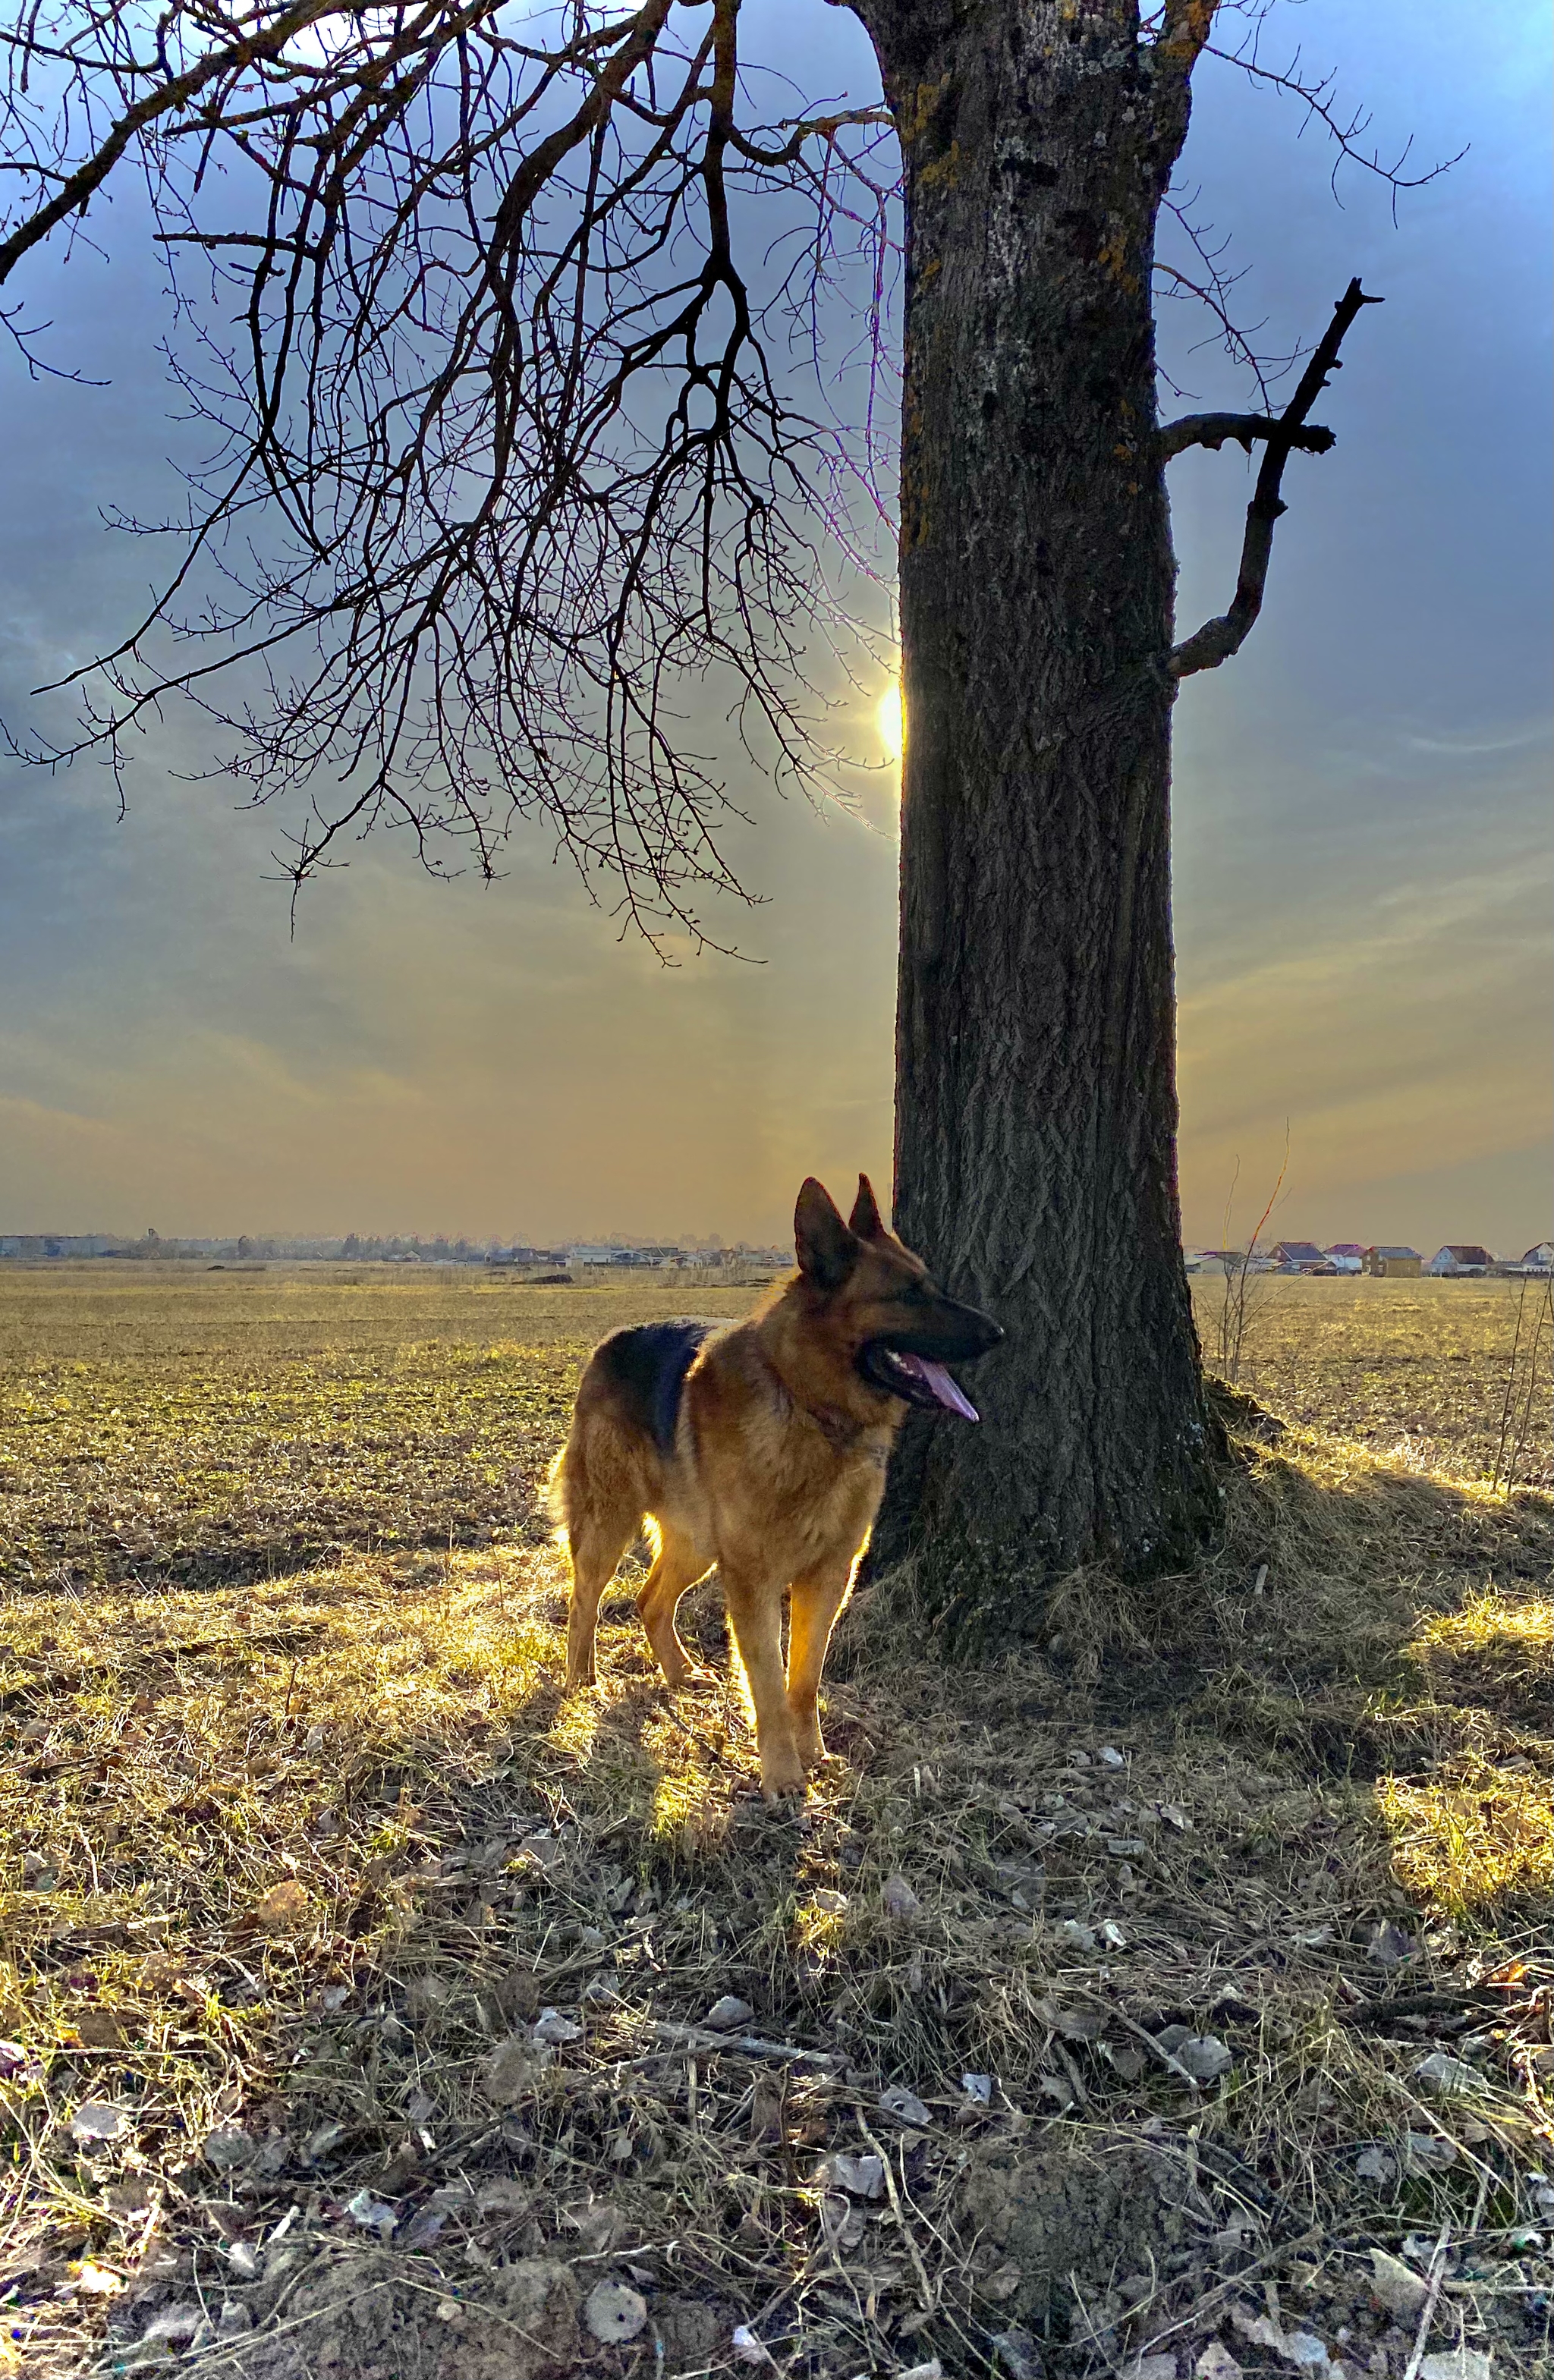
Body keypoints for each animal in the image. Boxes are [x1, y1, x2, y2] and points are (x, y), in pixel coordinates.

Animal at [552, 1171, 999, 1799]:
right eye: (910, 1293)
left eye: (930, 1285)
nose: (999, 1333)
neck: (808, 1404)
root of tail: (609, 1342)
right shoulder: (754, 1581)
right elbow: (766, 1680)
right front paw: (782, 1774)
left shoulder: (829, 1576)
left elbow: (804, 1677)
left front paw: (813, 1754)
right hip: (610, 1524)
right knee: (584, 1598)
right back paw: (581, 1678)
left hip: (697, 1546)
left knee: (650, 1600)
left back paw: (679, 1672)